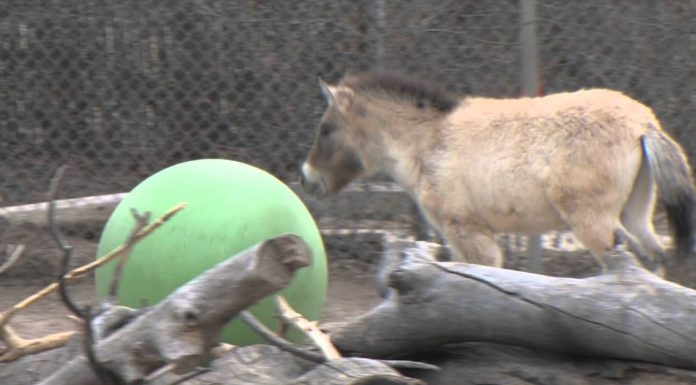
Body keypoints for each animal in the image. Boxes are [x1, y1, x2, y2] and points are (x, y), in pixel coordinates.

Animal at [300, 70, 696, 272]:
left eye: (327, 129)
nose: (306, 177)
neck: (430, 141)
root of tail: (643, 125)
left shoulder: (467, 232)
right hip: (634, 215)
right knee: (656, 260)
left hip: (594, 223)